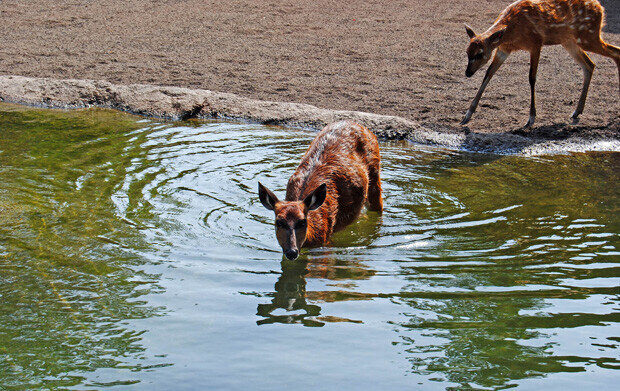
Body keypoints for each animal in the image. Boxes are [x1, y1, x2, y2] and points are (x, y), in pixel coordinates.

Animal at [460, 0, 620, 128]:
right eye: (467, 52)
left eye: (479, 53)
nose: (468, 73)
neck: (511, 33)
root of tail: (600, 7)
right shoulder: (503, 49)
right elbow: (488, 74)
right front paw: (466, 116)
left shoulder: (535, 43)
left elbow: (532, 78)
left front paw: (531, 119)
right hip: (569, 41)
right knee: (590, 64)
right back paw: (576, 111)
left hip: (588, 36)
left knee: (615, 52)